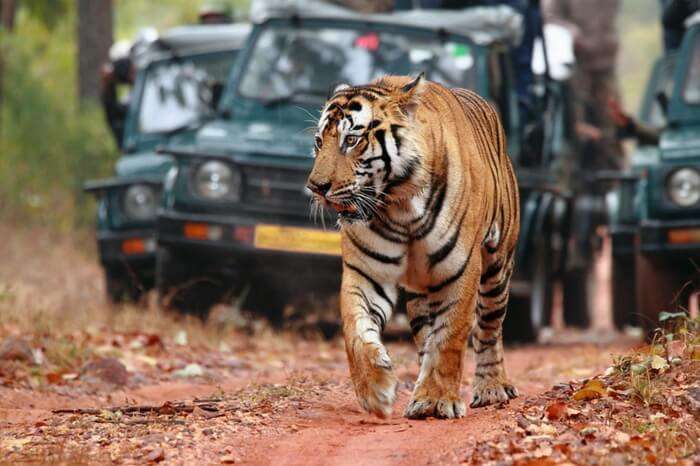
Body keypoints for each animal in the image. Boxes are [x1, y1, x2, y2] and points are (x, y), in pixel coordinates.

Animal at [306, 74, 520, 420]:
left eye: (351, 140)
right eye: (318, 141)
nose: (316, 187)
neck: (399, 206)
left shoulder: (460, 270)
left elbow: (450, 337)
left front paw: (439, 399)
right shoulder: (365, 273)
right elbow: (356, 331)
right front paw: (376, 390)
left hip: (497, 268)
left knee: (489, 329)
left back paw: (492, 388)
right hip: (422, 291)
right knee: (425, 336)